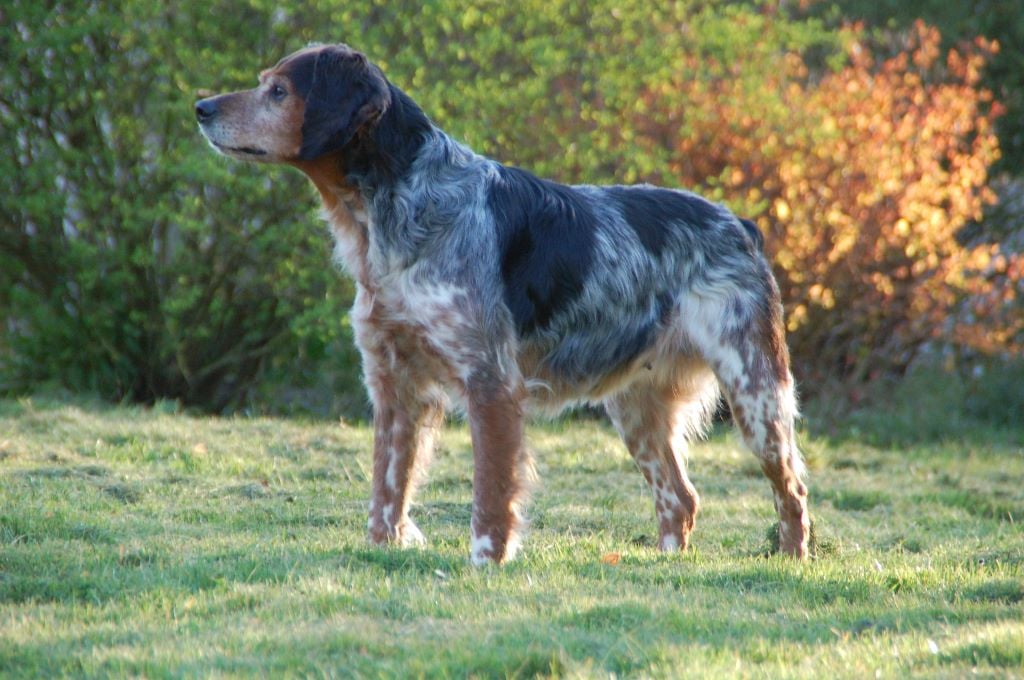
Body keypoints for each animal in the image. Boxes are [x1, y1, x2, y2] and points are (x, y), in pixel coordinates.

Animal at [195, 43, 811, 561]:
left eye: (279, 91)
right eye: (264, 83)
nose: (200, 106)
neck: (398, 210)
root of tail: (741, 224)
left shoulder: (490, 383)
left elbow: (491, 490)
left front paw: (486, 560)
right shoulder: (393, 384)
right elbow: (388, 484)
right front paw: (384, 548)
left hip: (756, 395)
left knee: (793, 489)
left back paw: (791, 560)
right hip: (637, 408)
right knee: (680, 498)